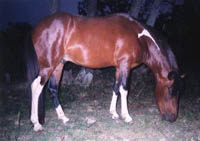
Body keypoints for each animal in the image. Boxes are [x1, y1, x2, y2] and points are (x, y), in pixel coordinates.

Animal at [28, 12, 184, 132]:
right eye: (171, 90)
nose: (172, 118)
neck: (139, 37)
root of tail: (37, 27)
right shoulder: (125, 65)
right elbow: (124, 89)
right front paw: (126, 116)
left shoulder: (119, 67)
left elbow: (115, 88)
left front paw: (114, 113)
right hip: (48, 66)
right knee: (36, 86)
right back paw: (36, 124)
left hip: (58, 65)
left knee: (53, 89)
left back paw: (63, 117)